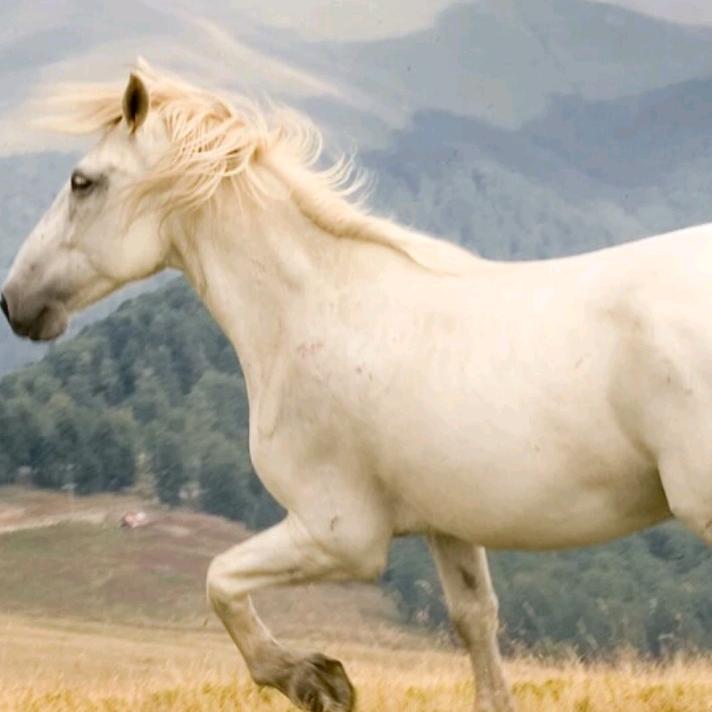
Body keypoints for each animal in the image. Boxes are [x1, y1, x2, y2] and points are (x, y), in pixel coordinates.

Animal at [3, 61, 712, 712]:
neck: (316, 309)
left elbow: (219, 580)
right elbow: (476, 624)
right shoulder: (446, 527)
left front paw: (316, 680)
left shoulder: (339, 534)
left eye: (82, 181)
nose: (15, 303)